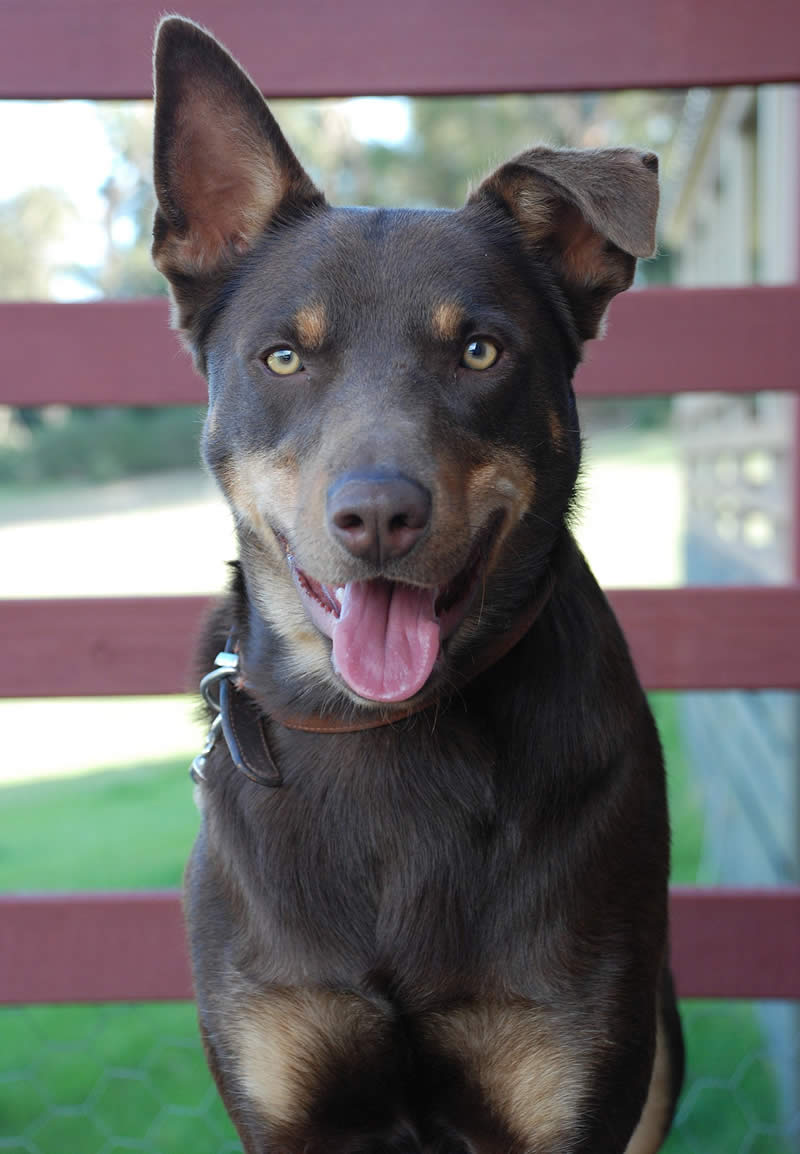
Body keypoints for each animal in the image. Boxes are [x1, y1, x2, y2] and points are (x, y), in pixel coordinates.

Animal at [152, 18, 683, 1154]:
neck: (385, 738)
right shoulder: (281, 1084)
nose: (377, 515)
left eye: (479, 350)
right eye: (283, 357)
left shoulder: (571, 1072)